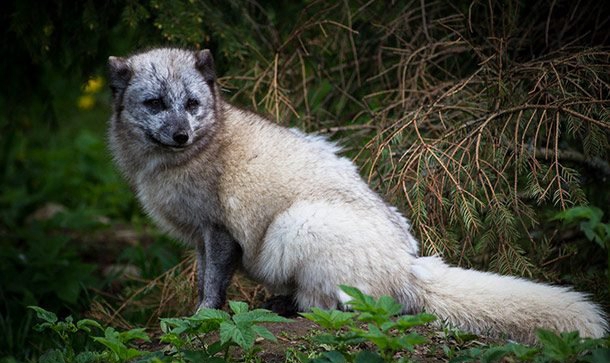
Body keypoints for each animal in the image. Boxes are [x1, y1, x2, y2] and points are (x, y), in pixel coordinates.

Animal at [107, 48, 604, 344]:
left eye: (192, 104)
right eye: (155, 103)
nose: (181, 134)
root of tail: (408, 268)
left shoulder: (219, 231)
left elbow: (212, 288)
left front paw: (201, 321)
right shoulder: (198, 240)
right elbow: (203, 282)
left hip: (296, 225)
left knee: (351, 311)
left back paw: (291, 310)